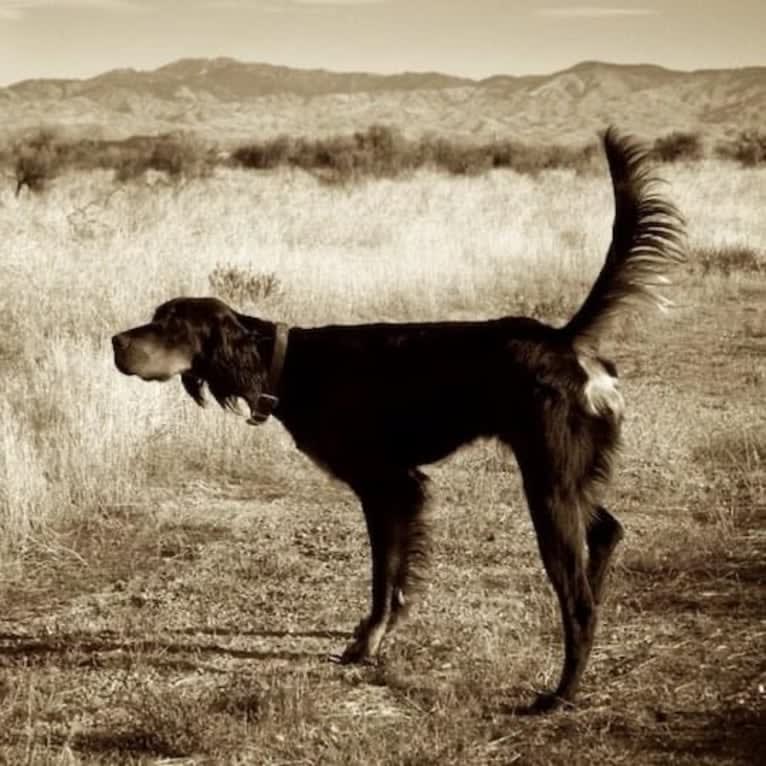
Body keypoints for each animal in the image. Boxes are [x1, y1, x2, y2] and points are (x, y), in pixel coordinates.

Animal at [111, 127, 688, 712]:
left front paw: (367, 643)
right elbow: (394, 577)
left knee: (577, 599)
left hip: (548, 485)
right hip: (569, 476)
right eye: (155, 318)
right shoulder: (397, 487)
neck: (289, 363)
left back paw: (561, 693)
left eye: (170, 324)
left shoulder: (387, 484)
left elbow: (383, 576)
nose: (115, 341)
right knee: (608, 534)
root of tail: (563, 341)